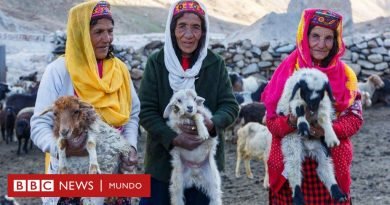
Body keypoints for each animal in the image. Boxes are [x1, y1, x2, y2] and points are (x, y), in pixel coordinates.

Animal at [276, 69, 346, 205]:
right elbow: (299, 109)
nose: (313, 103)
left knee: (324, 168)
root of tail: (307, 149)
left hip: (322, 148)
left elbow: (324, 117)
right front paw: (303, 125)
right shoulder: (295, 100)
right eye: (306, 89)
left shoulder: (323, 102)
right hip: (292, 144)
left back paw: (338, 193)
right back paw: (298, 198)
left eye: (321, 91)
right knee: (294, 169)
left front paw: (331, 137)